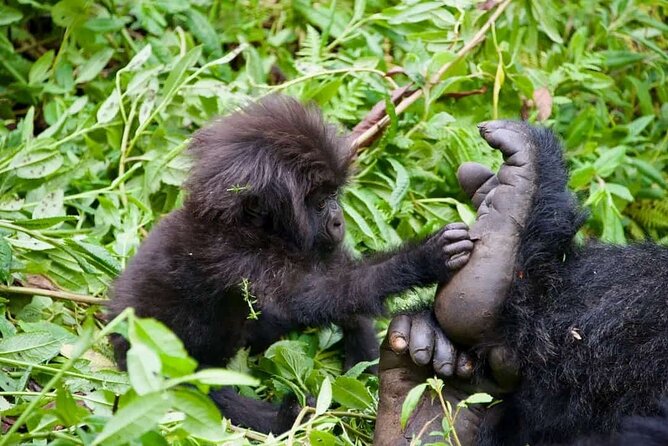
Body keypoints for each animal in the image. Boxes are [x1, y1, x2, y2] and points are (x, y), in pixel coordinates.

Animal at [107, 95, 474, 434]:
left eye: (334, 196)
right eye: (320, 203)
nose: (339, 221)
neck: (243, 225)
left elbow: (339, 289)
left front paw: (366, 357)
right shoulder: (238, 255)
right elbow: (315, 294)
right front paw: (423, 258)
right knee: (204, 395)